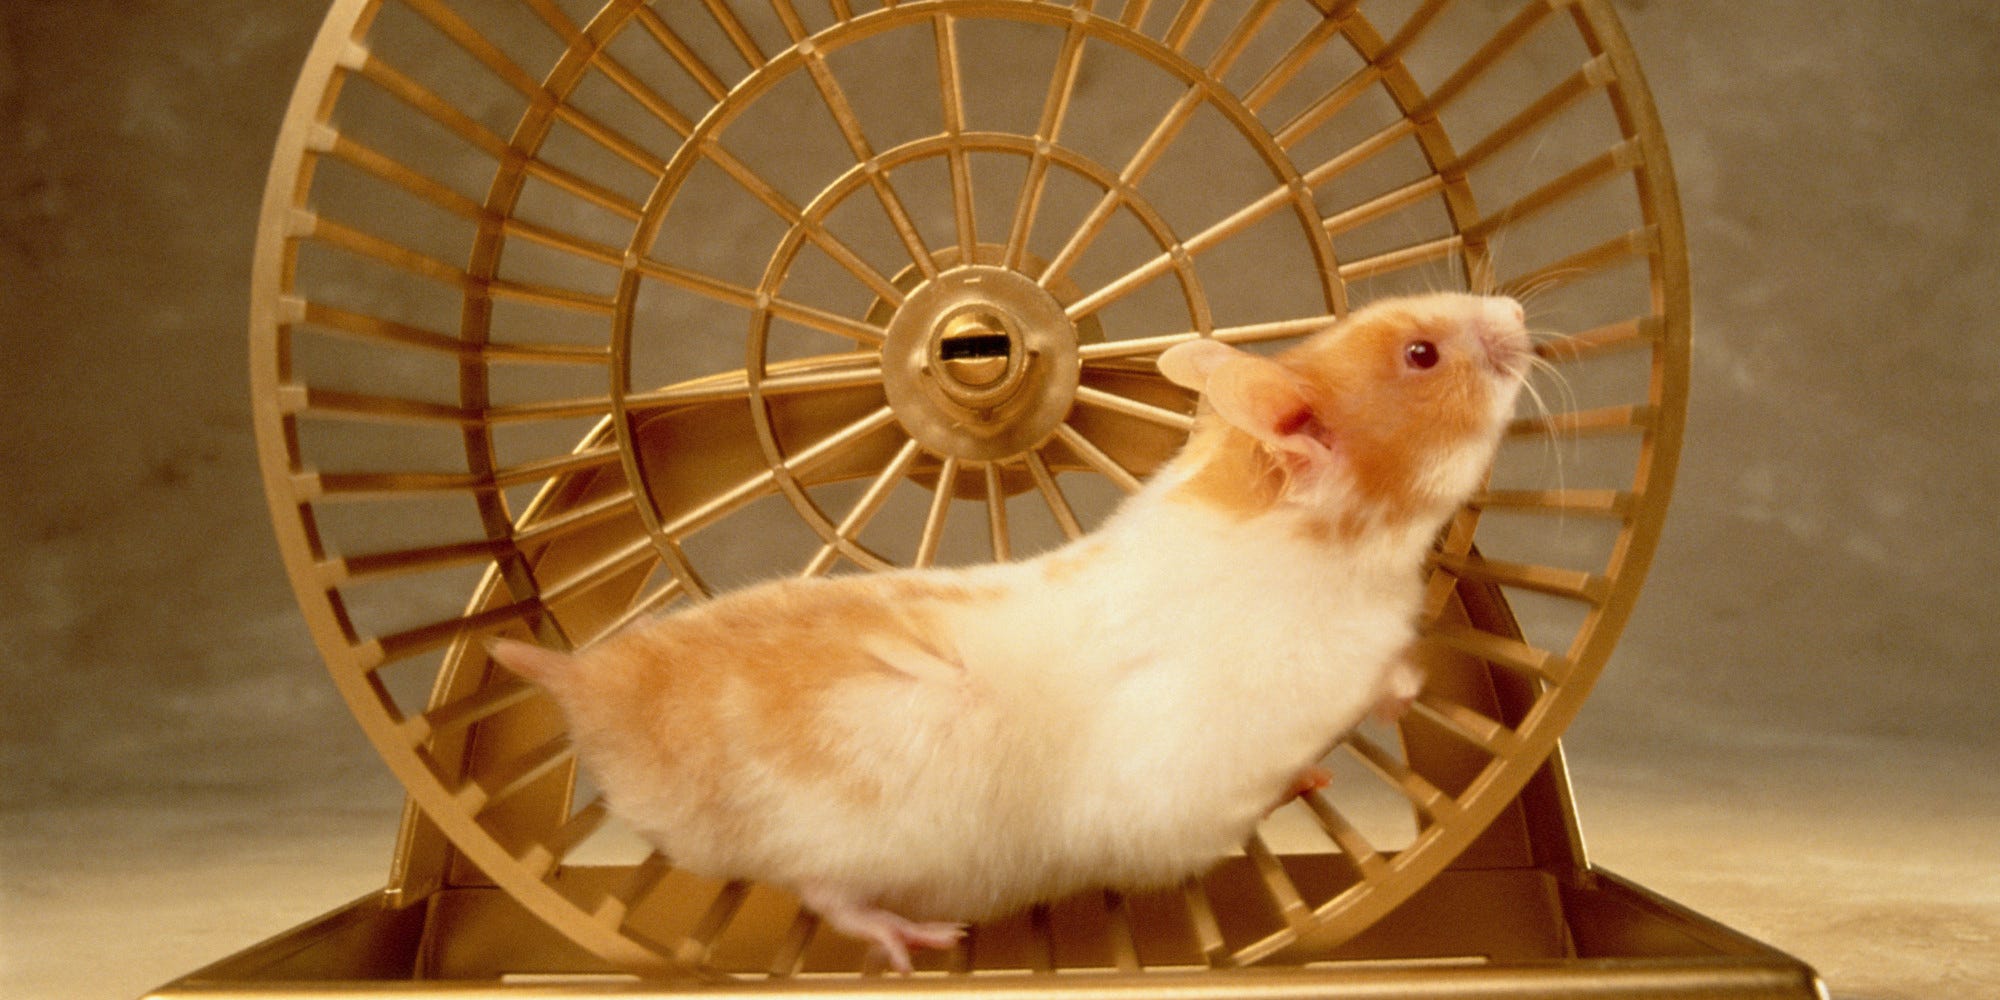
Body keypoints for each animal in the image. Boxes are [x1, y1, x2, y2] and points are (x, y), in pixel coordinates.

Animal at [488, 291, 1532, 972]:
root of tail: (588, 683)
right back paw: (917, 939)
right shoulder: (1220, 767)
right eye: (1422, 355)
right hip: (832, 843)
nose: (1517, 305)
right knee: (826, 895)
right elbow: (1327, 728)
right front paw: (1373, 714)